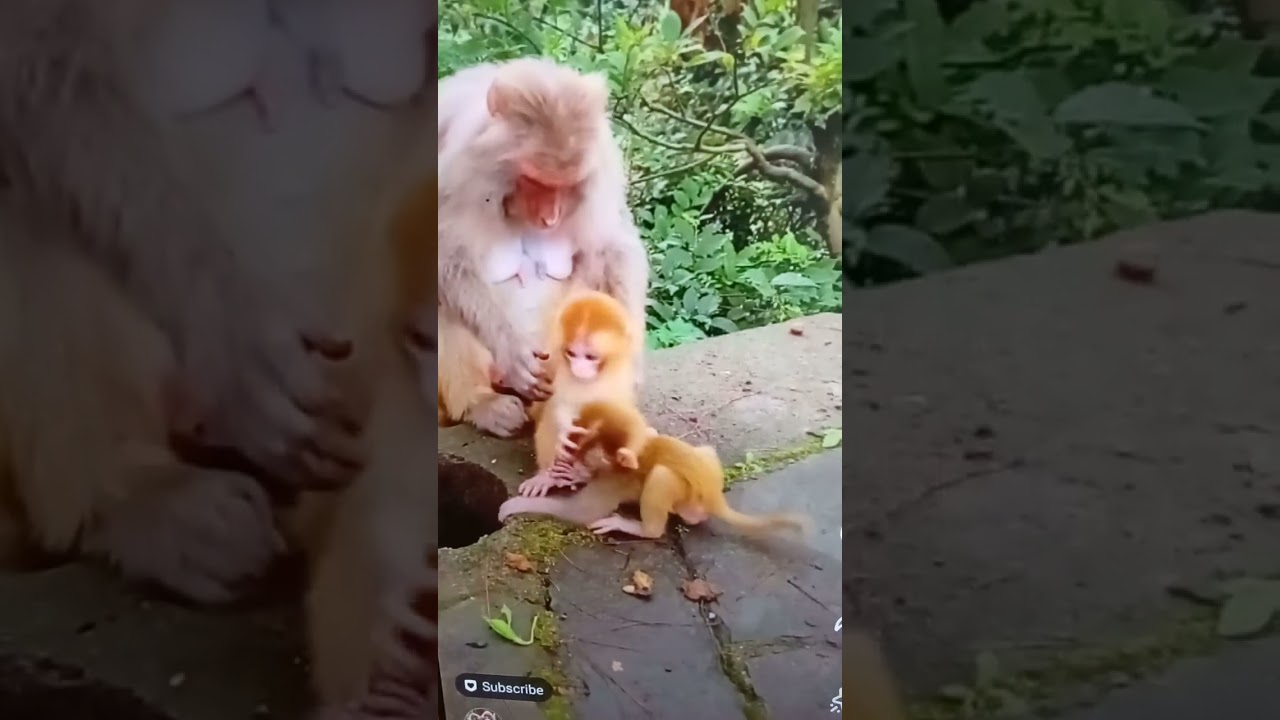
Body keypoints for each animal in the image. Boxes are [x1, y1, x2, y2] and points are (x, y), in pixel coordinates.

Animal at [434, 58, 651, 436]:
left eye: (566, 185)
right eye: (535, 181)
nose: (550, 217)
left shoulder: (602, 169)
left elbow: (613, 247)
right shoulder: (454, 168)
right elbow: (441, 252)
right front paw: (511, 350)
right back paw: (480, 403)